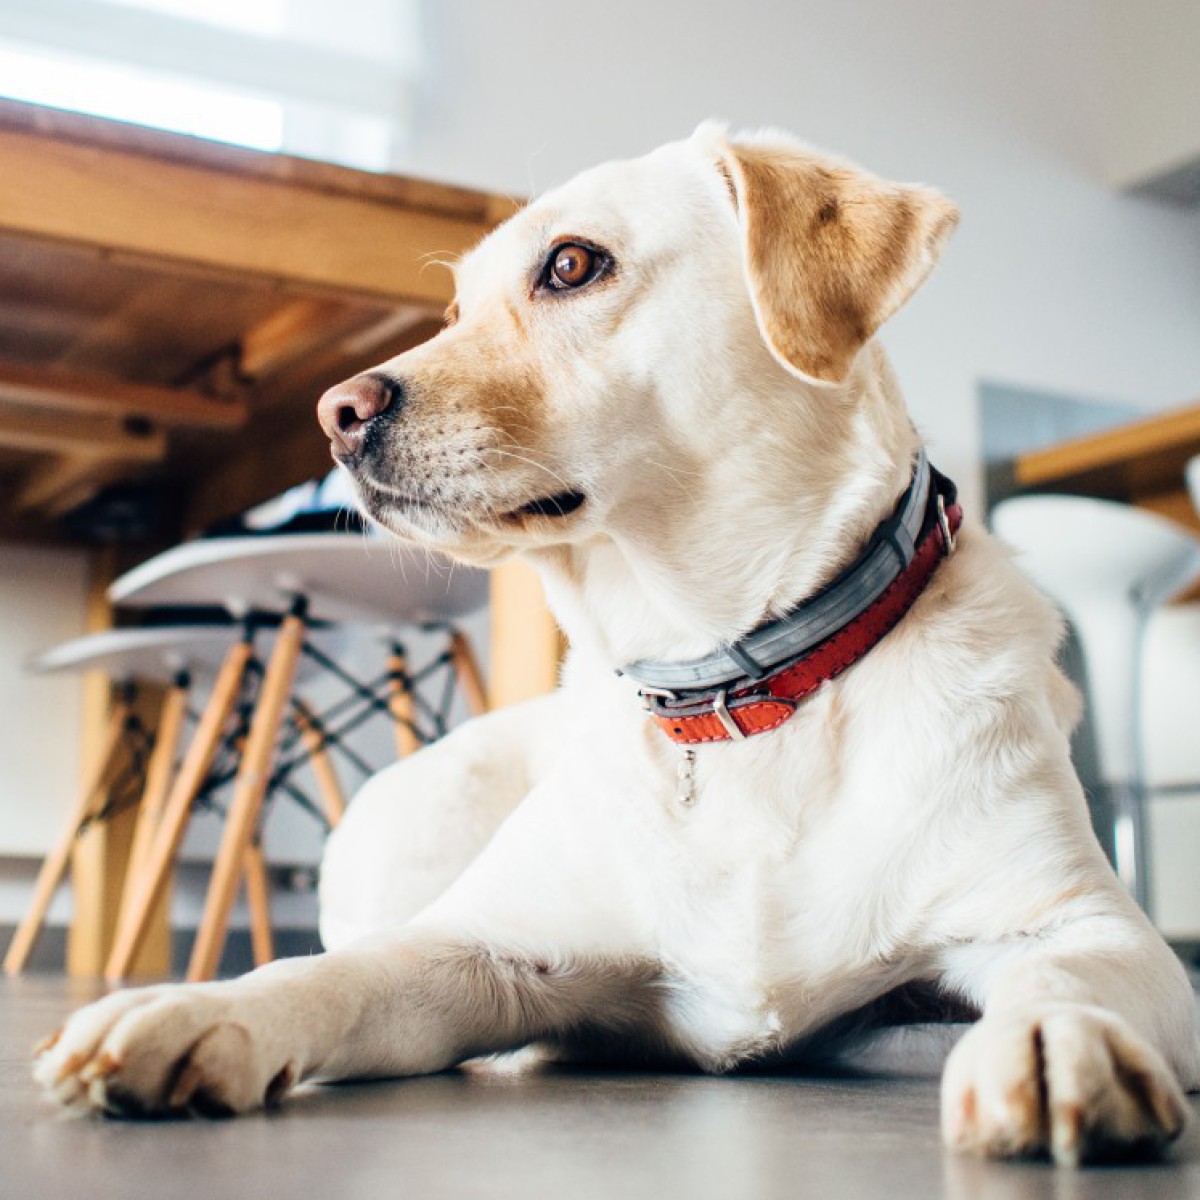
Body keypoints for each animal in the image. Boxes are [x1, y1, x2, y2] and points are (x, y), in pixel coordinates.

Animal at [32, 126, 1195, 1166]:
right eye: (453, 312)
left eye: (572, 264)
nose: (336, 413)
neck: (736, 690)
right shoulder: (470, 948)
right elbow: (333, 977)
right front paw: (194, 1013)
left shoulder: (1085, 925)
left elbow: (1066, 975)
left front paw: (1053, 1040)